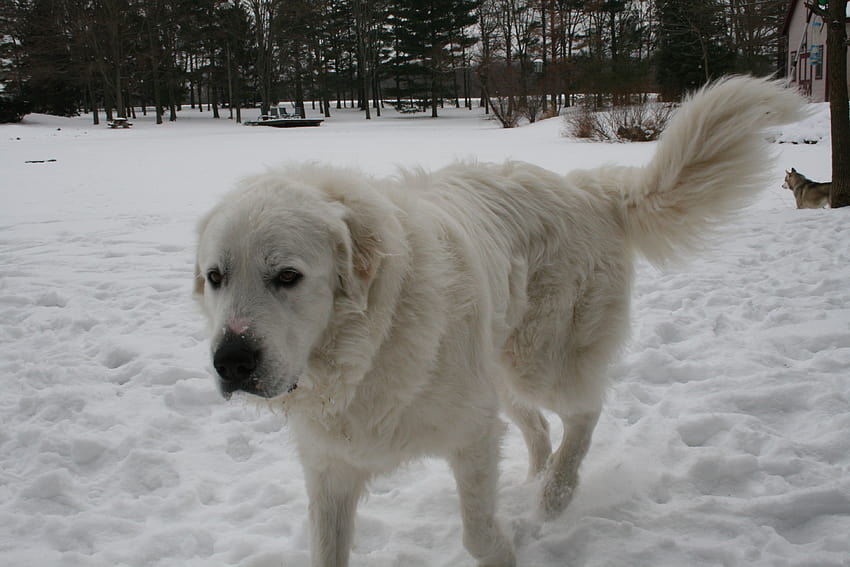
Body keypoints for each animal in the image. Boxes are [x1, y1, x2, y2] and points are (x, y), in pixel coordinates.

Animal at [195, 76, 804, 567]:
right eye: (216, 276)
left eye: (288, 276)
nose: (231, 363)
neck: (369, 344)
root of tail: (586, 189)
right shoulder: (332, 468)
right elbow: (327, 551)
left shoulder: (470, 436)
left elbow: (480, 538)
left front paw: (510, 541)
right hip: (503, 370)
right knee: (538, 427)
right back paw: (537, 478)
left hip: (541, 360)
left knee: (584, 411)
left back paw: (555, 494)